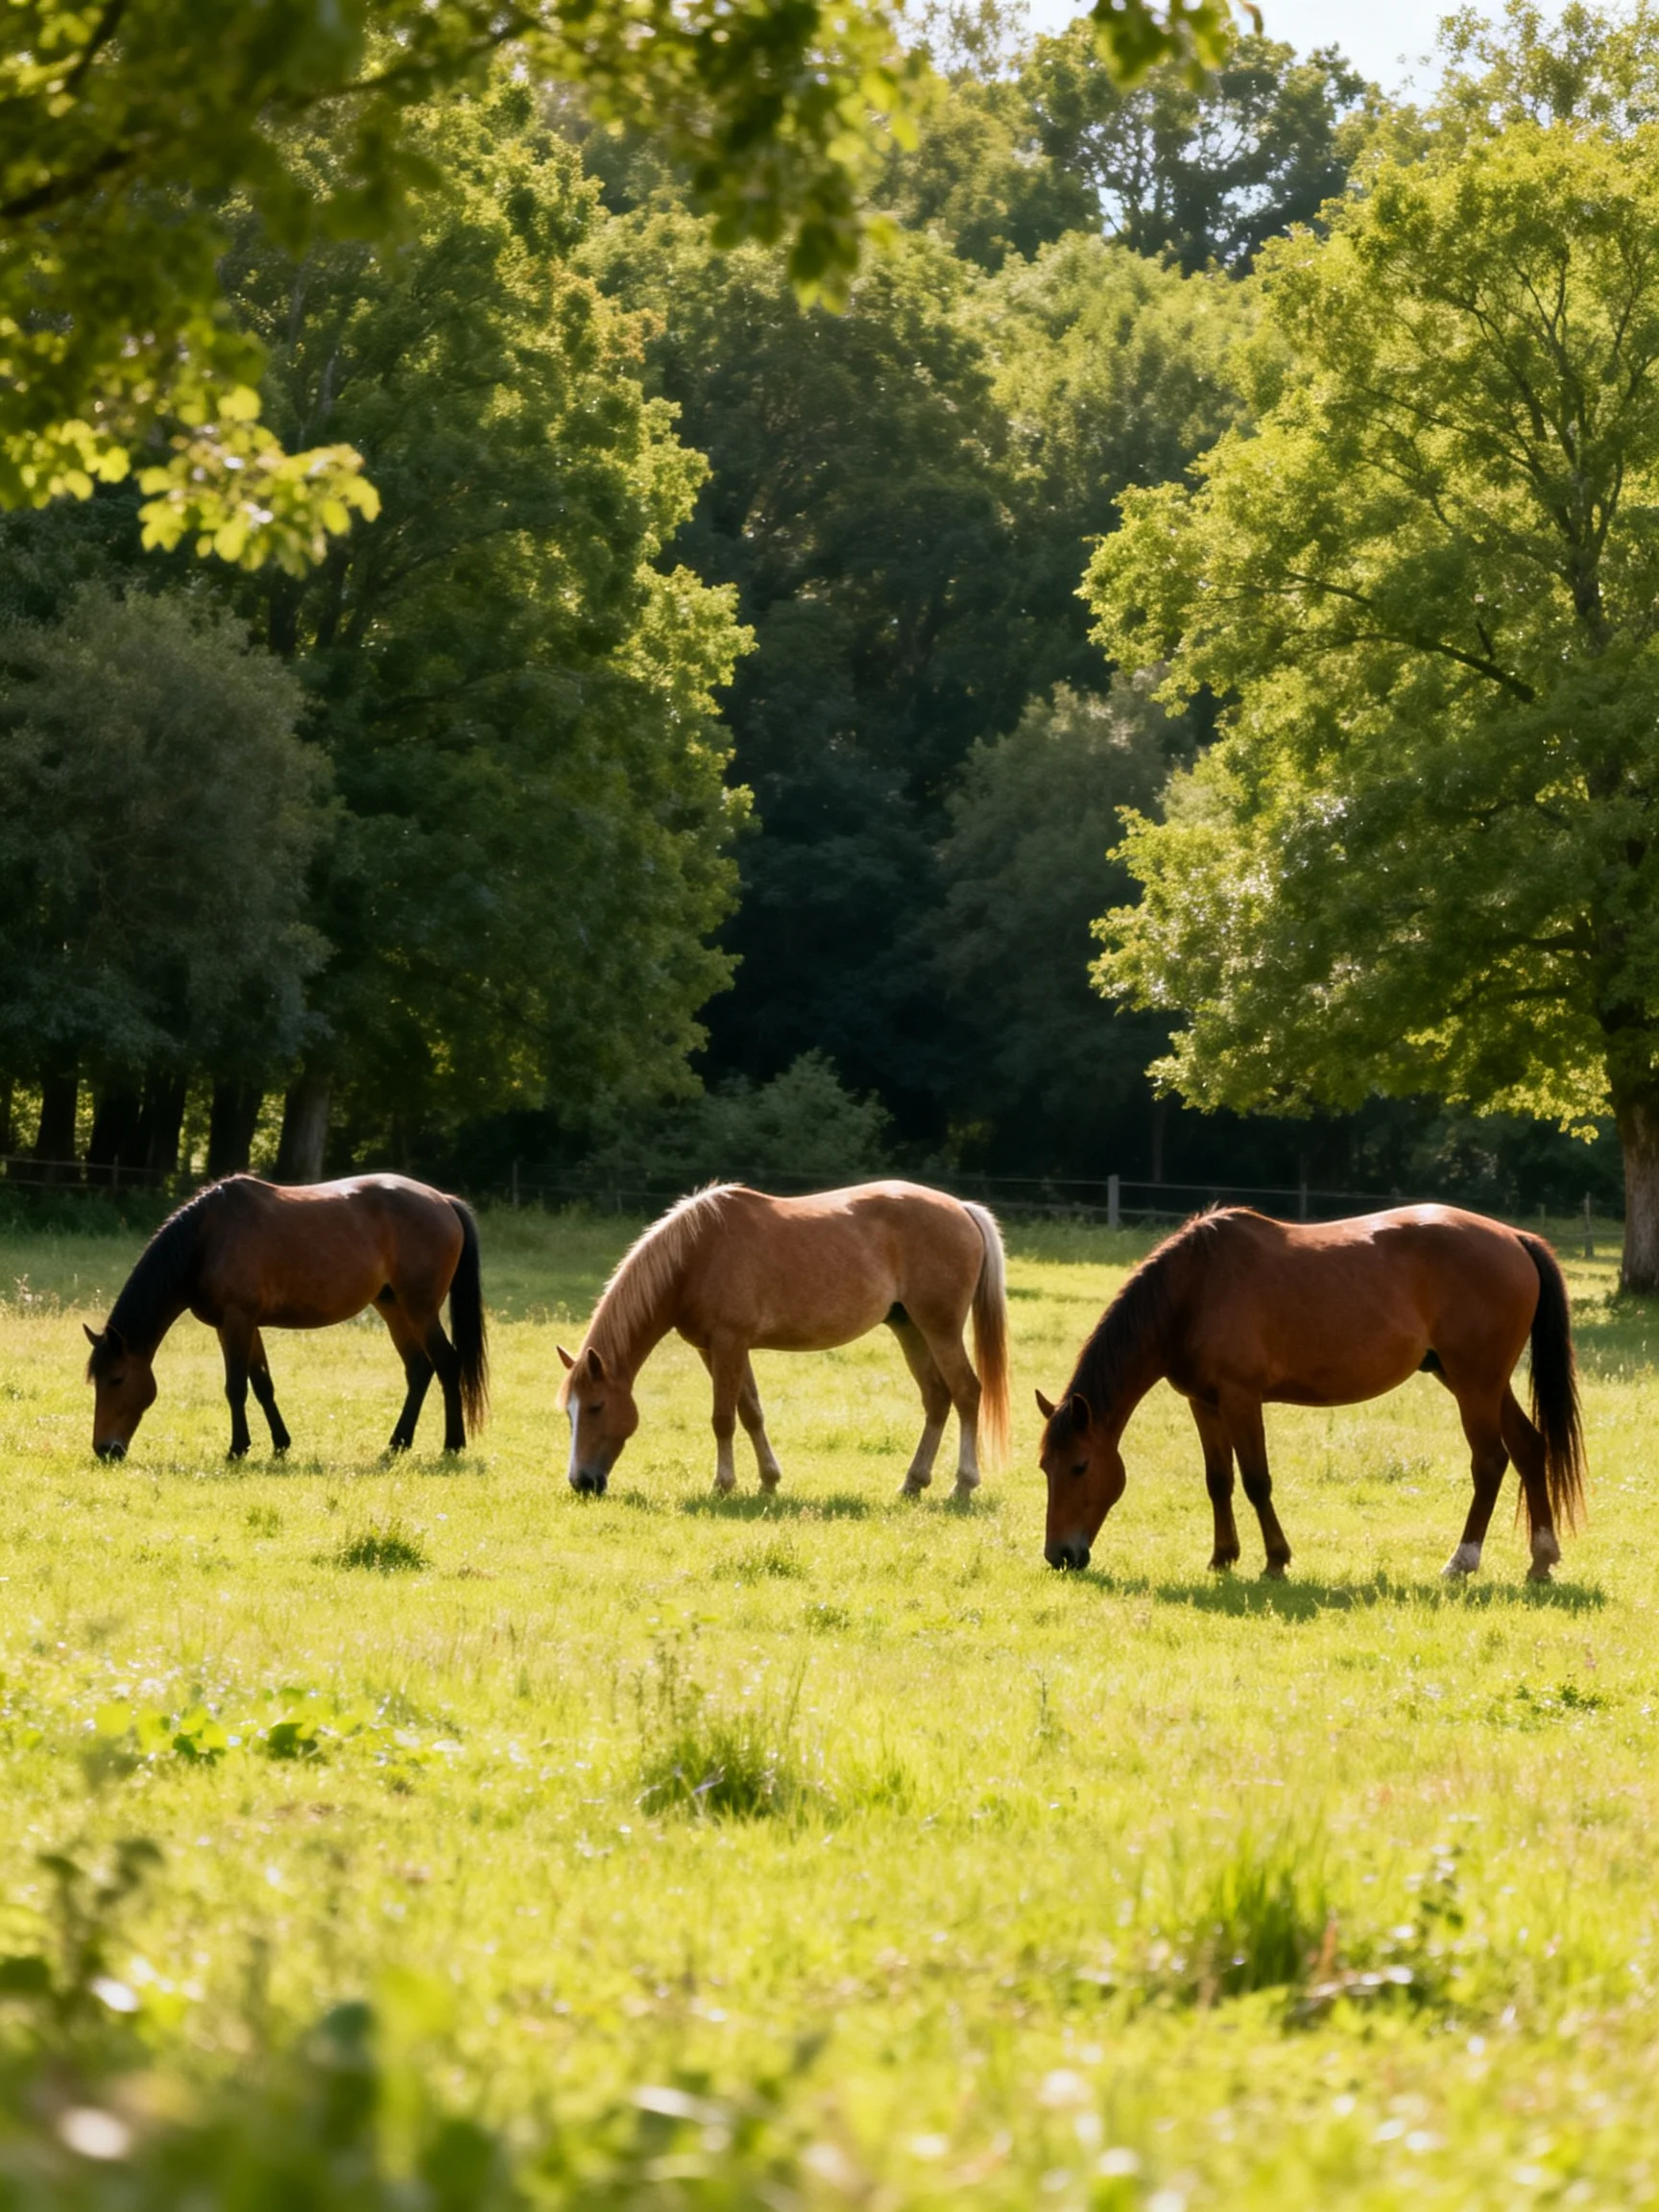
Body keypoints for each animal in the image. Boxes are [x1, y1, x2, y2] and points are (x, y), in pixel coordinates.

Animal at [83, 1174, 488, 1461]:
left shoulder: (238, 1319)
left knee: (447, 1363)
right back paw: (397, 1443)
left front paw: (237, 1449)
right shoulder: (235, 1325)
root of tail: (444, 1201)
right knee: (419, 1369)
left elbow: (236, 1387)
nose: (105, 1450)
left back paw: (452, 1444)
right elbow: (262, 1383)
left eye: (117, 1379)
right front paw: (280, 1444)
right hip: (393, 1308)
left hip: (420, 1309)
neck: (207, 1239)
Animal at [556, 1181, 1009, 1499]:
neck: (695, 1255)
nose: (581, 1482)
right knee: (937, 1397)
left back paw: (963, 1484)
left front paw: (723, 1484)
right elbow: (750, 1412)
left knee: (967, 1392)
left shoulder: (728, 1343)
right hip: (910, 1328)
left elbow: (723, 1418)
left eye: (596, 1407)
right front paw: (768, 1480)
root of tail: (962, 1209)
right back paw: (913, 1482)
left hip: (940, 1329)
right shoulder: (717, 1348)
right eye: (569, 1413)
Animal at [1036, 1205, 1585, 1583]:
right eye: (1045, 1467)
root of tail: (1514, 1238)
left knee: (1490, 1462)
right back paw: (1541, 1559)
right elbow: (1219, 1481)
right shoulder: (1204, 1403)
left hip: (1475, 1383)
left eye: (1080, 1467)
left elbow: (1256, 1481)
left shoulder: (1241, 1398)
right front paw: (1222, 1557)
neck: (1194, 1290)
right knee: (1530, 1448)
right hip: (1474, 1380)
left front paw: (1275, 1561)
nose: (1060, 1555)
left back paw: (1461, 1561)